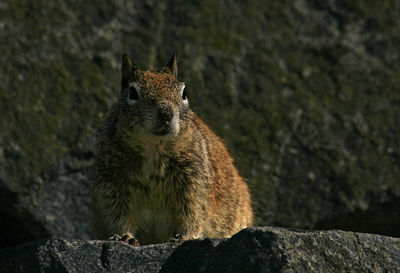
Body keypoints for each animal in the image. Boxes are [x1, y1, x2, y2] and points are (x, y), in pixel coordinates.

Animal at [92, 53, 252, 244]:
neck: (154, 147)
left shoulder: (194, 181)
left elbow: (193, 212)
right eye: (132, 93)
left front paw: (185, 236)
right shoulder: (113, 183)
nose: (166, 114)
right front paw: (125, 236)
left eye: (184, 93)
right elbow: (119, 214)